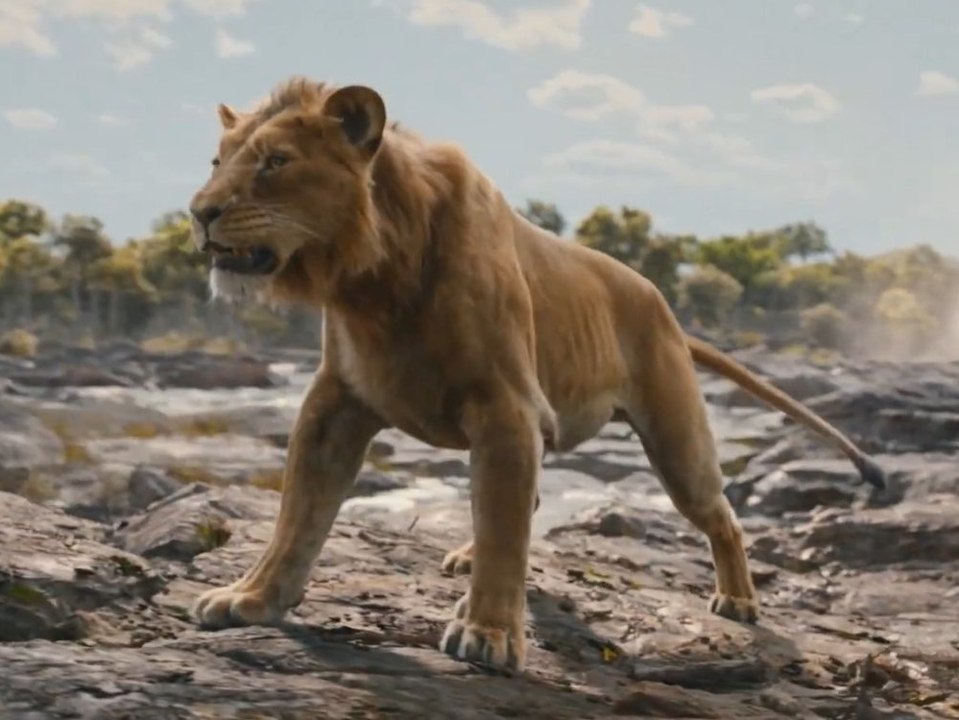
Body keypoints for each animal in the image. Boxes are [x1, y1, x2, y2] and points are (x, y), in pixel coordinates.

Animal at [187, 76, 885, 672]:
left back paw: (739, 600)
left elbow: (503, 527)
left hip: (677, 440)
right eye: (217, 163)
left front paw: (489, 634)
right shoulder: (335, 403)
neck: (373, 280)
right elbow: (298, 516)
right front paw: (250, 598)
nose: (199, 213)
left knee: (721, 515)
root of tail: (664, 305)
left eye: (276, 162)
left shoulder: (506, 408)